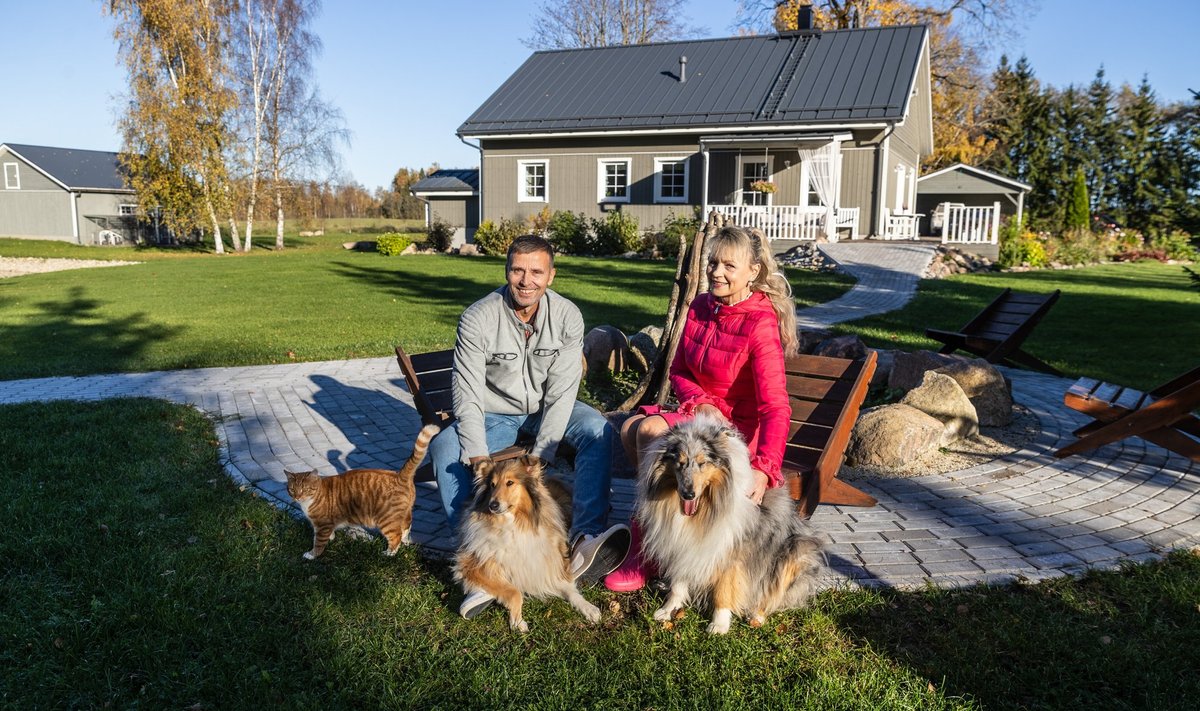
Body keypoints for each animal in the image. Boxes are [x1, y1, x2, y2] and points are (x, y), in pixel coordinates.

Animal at [285, 425, 441, 557]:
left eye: (305, 489)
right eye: (292, 489)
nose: (297, 497)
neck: (310, 500)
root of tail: (399, 475)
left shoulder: (323, 525)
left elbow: (318, 542)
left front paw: (312, 555)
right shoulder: (326, 525)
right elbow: (329, 534)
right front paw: (332, 538)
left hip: (386, 519)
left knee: (395, 535)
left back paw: (389, 553)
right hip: (404, 512)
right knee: (406, 526)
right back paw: (405, 540)